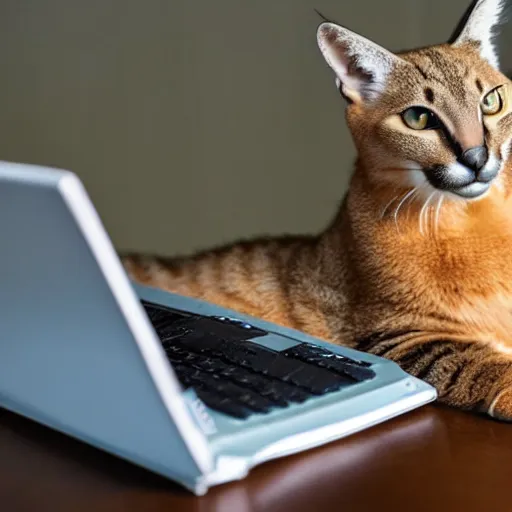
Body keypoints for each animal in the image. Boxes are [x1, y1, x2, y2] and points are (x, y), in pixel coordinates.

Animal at [121, 0, 512, 422]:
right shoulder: (396, 335)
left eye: (491, 101)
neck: (470, 218)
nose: (476, 157)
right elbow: (478, 364)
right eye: (419, 118)